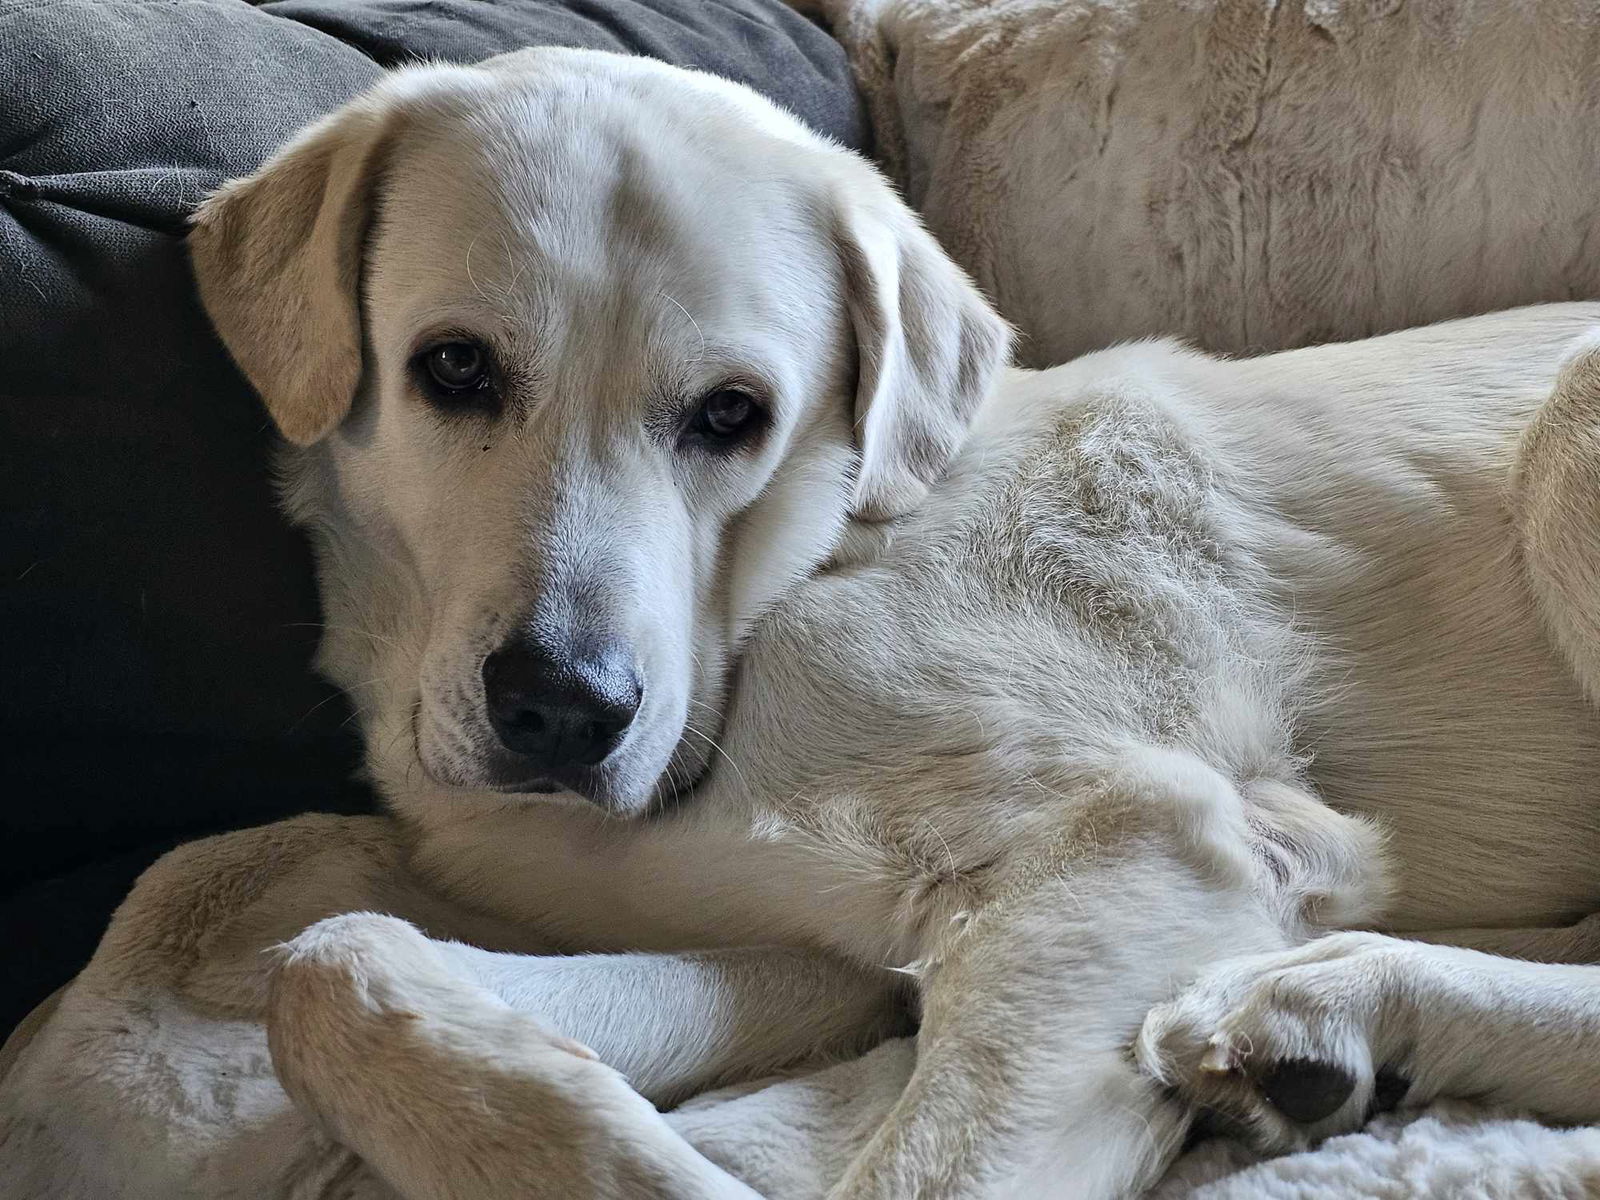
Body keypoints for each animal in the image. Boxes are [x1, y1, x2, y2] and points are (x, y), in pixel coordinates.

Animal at [3, 44, 1600, 1200]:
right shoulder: (794, 955)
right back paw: (1328, 1021)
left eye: (732, 416)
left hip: (1572, 439)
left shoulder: (1142, 841)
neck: (780, 598)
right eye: (453, 368)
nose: (563, 712)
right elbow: (326, 956)